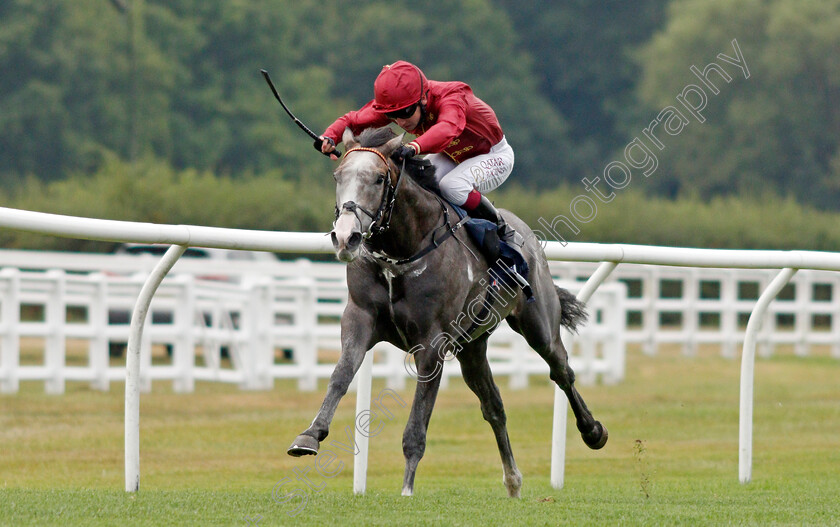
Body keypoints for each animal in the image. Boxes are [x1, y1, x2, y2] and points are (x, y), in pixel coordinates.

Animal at [286, 126, 608, 498]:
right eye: (338, 176)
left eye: (379, 179)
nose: (345, 237)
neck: (402, 250)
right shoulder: (359, 318)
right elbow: (340, 375)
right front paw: (310, 435)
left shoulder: (432, 342)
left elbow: (418, 420)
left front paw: (407, 489)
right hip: (472, 347)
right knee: (494, 406)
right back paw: (513, 481)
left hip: (538, 323)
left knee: (562, 371)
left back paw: (593, 431)